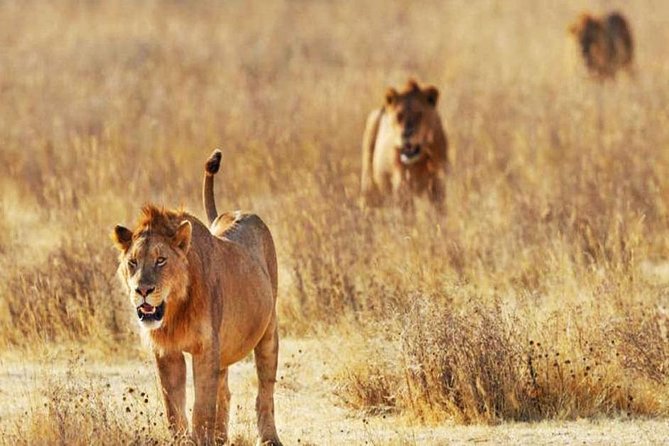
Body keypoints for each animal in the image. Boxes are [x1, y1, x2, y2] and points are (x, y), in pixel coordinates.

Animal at [112, 150, 282, 446]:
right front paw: (183, 439)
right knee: (225, 390)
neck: (175, 311)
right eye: (132, 262)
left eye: (160, 260)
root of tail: (233, 212)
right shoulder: (166, 351)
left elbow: (202, 409)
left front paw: (201, 438)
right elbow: (173, 409)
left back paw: (269, 437)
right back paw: (221, 437)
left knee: (265, 391)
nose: (142, 290)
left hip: (268, 332)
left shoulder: (205, 348)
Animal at [361, 79, 449, 211]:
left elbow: (439, 209)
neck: (420, 159)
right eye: (399, 115)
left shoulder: (438, 181)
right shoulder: (402, 184)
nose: (406, 134)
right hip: (369, 186)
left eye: (419, 114)